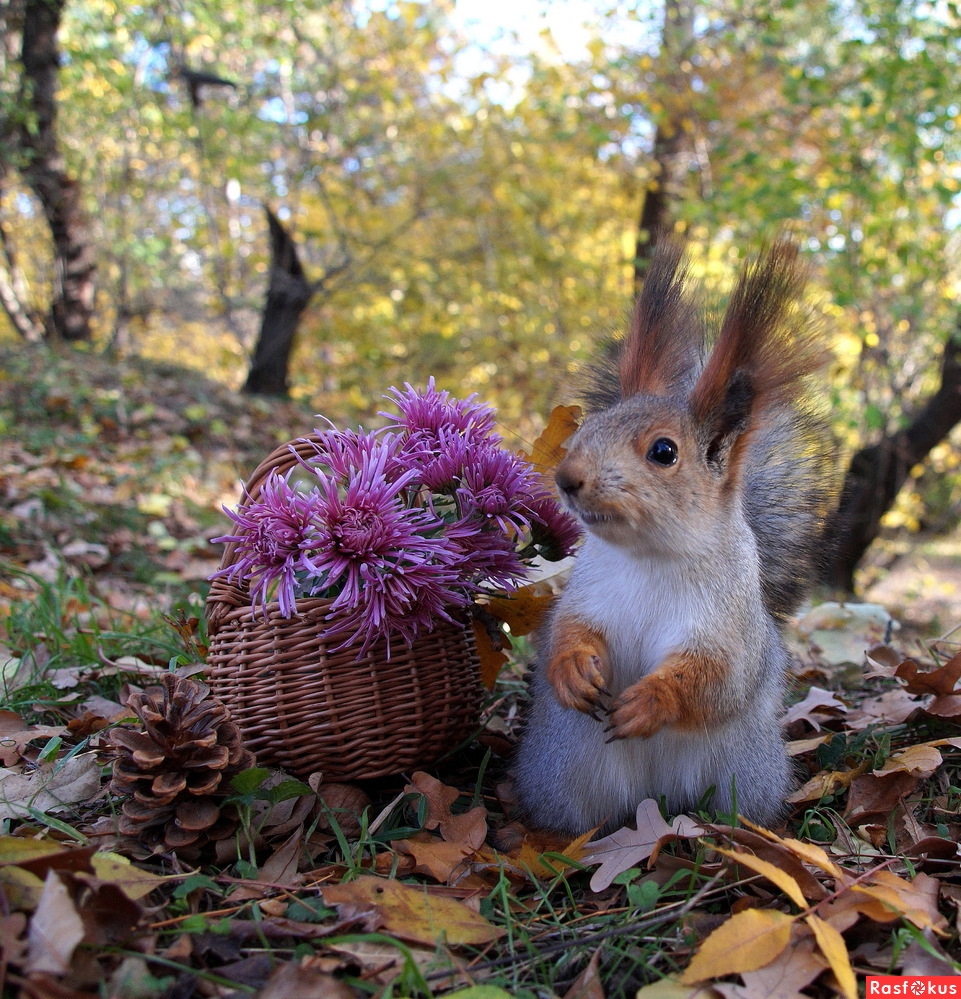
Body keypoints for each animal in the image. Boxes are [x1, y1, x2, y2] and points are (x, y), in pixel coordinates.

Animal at [512, 238, 836, 832]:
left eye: (664, 452)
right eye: (588, 429)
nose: (567, 479)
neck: (649, 556)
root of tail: (653, 800)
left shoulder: (729, 625)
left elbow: (715, 678)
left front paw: (650, 703)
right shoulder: (585, 595)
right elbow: (565, 633)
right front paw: (572, 672)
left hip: (738, 776)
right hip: (566, 779)